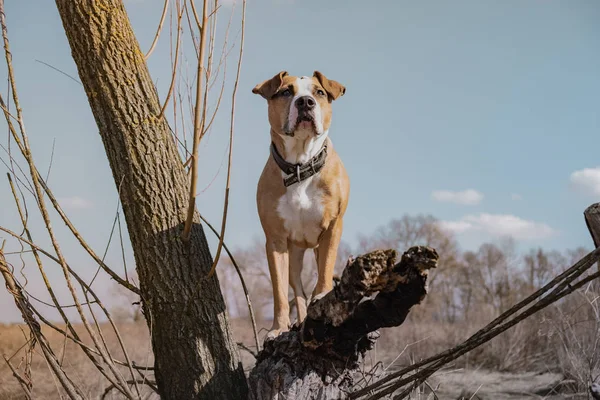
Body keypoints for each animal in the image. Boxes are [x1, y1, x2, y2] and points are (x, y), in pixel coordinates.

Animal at [251, 71, 350, 338]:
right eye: (286, 92)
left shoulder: (333, 227)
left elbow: (325, 271)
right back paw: (300, 320)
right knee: (297, 289)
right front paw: (278, 328)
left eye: (319, 92)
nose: (305, 102)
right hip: (294, 253)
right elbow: (279, 292)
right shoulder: (275, 241)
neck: (300, 166)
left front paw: (323, 296)